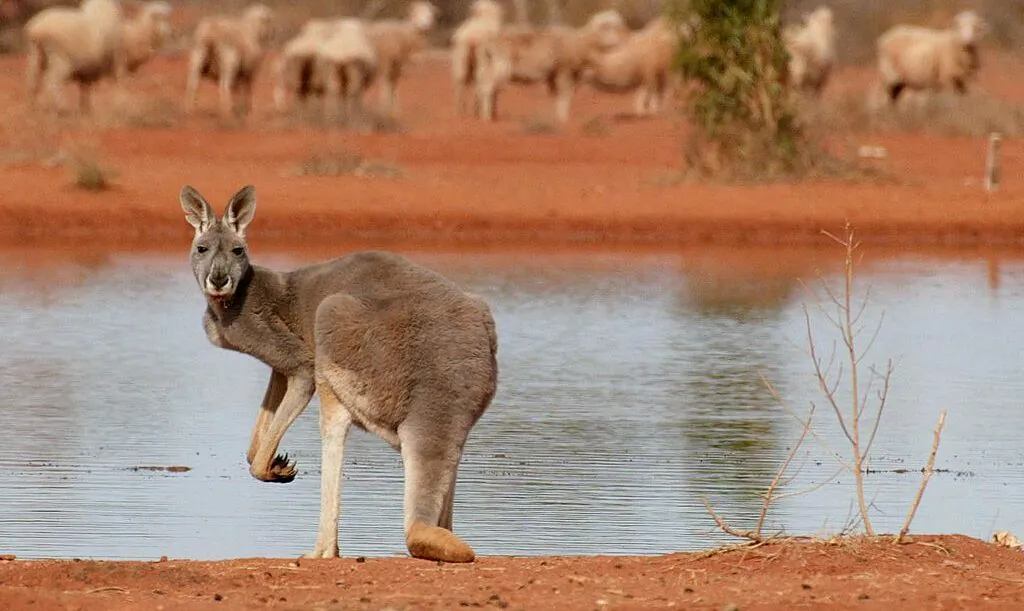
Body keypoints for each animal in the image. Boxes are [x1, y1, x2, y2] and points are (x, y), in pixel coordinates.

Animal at [472, 9, 629, 123]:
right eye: (613, 27)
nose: (624, 39)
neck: (581, 43)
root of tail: (486, 42)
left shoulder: (553, 75)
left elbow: (557, 96)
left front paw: (557, 116)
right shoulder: (564, 71)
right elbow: (564, 96)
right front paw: (563, 119)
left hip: (486, 65)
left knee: (484, 88)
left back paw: (488, 115)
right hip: (500, 65)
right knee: (487, 89)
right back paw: (486, 117)